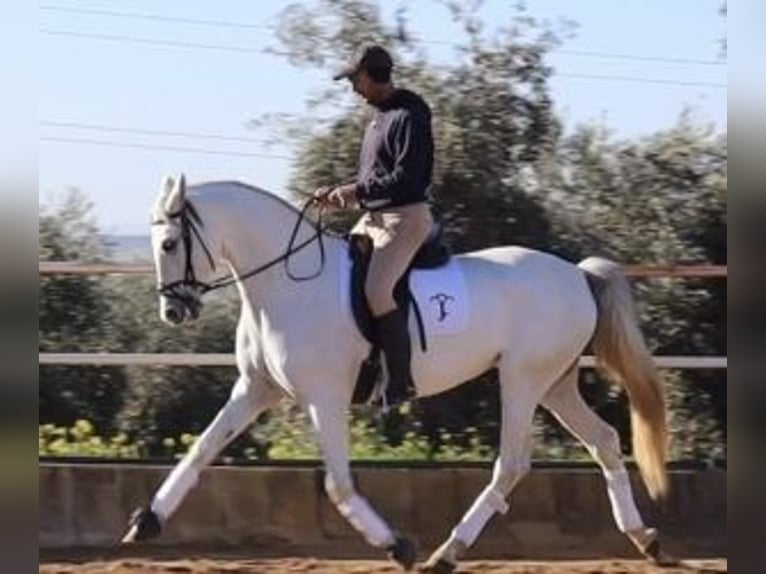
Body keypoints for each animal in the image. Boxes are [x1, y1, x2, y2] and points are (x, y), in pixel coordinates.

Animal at [123, 176, 676, 572]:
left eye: (169, 243)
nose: (174, 312)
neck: (287, 284)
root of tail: (578, 275)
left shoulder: (325, 397)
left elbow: (339, 484)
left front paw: (397, 545)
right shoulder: (256, 389)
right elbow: (201, 450)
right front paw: (145, 522)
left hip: (522, 380)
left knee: (512, 464)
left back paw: (445, 554)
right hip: (555, 384)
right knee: (604, 441)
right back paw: (645, 539)